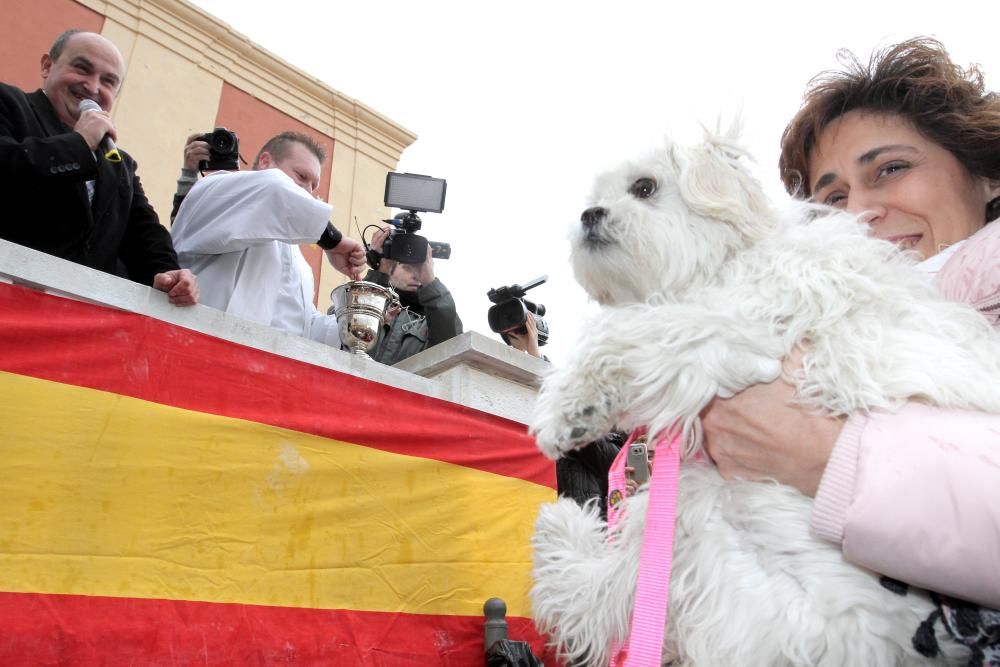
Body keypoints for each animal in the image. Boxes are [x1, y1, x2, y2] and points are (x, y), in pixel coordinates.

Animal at [532, 130, 1000, 667]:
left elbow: (633, 331)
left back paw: (561, 534)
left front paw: (568, 406)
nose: (589, 214)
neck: (729, 259)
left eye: (644, 187)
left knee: (605, 594)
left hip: (698, 525)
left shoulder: (741, 322)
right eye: (595, 198)